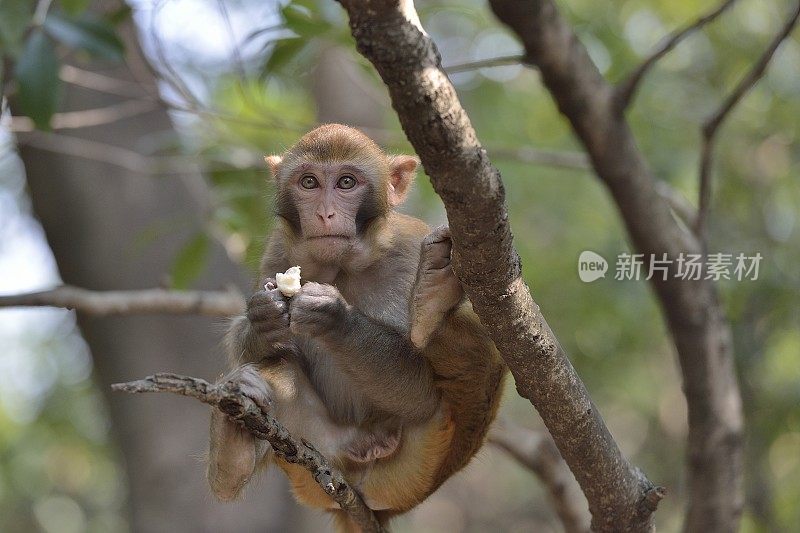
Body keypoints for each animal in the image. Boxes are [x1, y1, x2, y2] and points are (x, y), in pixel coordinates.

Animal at [208, 123, 506, 528]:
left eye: (346, 182)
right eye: (309, 182)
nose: (325, 213)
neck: (344, 267)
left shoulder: (409, 246)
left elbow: (419, 395)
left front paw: (334, 315)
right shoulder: (278, 250)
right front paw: (262, 318)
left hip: (414, 470)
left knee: (481, 359)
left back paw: (434, 299)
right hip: (314, 466)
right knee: (278, 371)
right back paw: (233, 441)